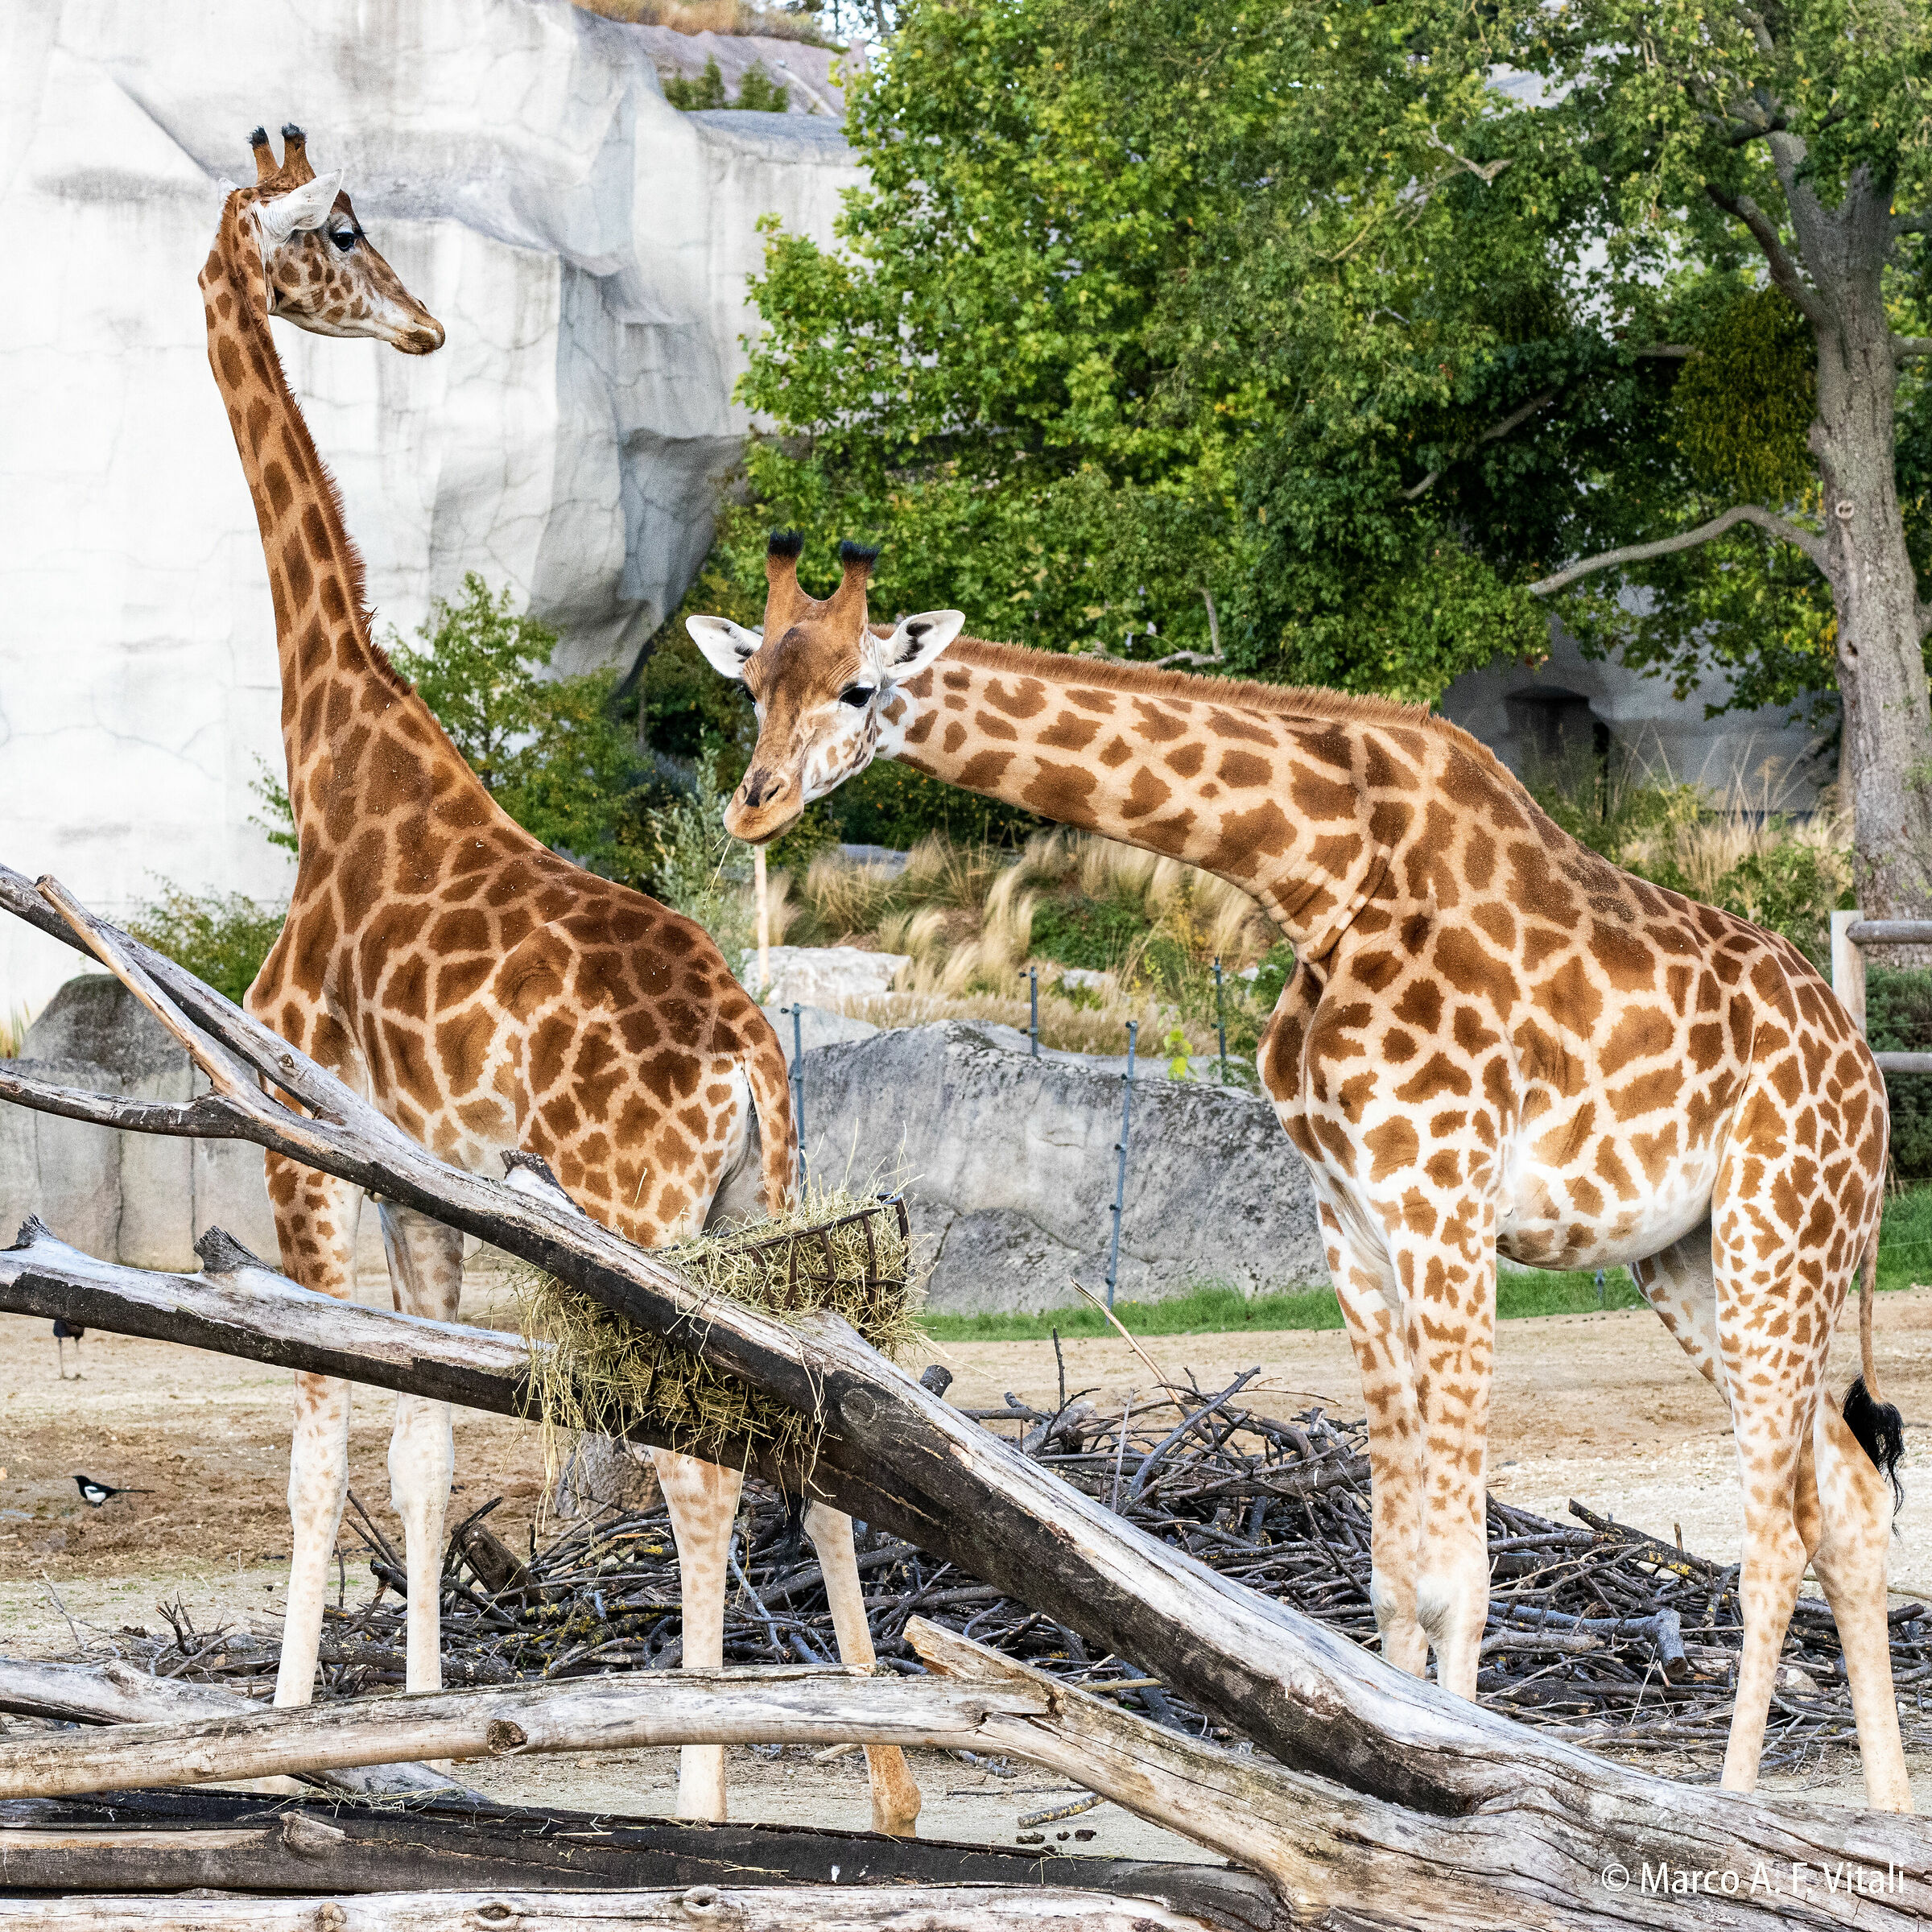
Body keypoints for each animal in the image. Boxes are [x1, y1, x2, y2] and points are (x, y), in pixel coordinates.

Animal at [198, 135, 921, 1832]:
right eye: (345, 229)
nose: (424, 331)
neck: (331, 748)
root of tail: (753, 1052)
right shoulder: (420, 1183)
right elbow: (420, 1447)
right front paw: (416, 1740)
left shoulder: (296, 1149)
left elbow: (318, 1446)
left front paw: (285, 1741)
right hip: (751, 1212)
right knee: (814, 1447)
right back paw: (887, 1784)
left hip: (640, 1217)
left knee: (704, 1466)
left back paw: (701, 1797)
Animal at [691, 534, 1914, 1812]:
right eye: (752, 687)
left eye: (859, 689)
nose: (755, 804)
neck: (1318, 876)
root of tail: (1872, 1088)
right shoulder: (1352, 1218)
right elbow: (1392, 1579)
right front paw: (1407, 1777)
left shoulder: (1445, 1199)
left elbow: (1460, 1574)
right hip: (1691, 1257)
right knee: (1848, 1497)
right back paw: (1880, 1817)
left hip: (1777, 1231)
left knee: (1777, 1532)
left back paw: (1738, 1810)